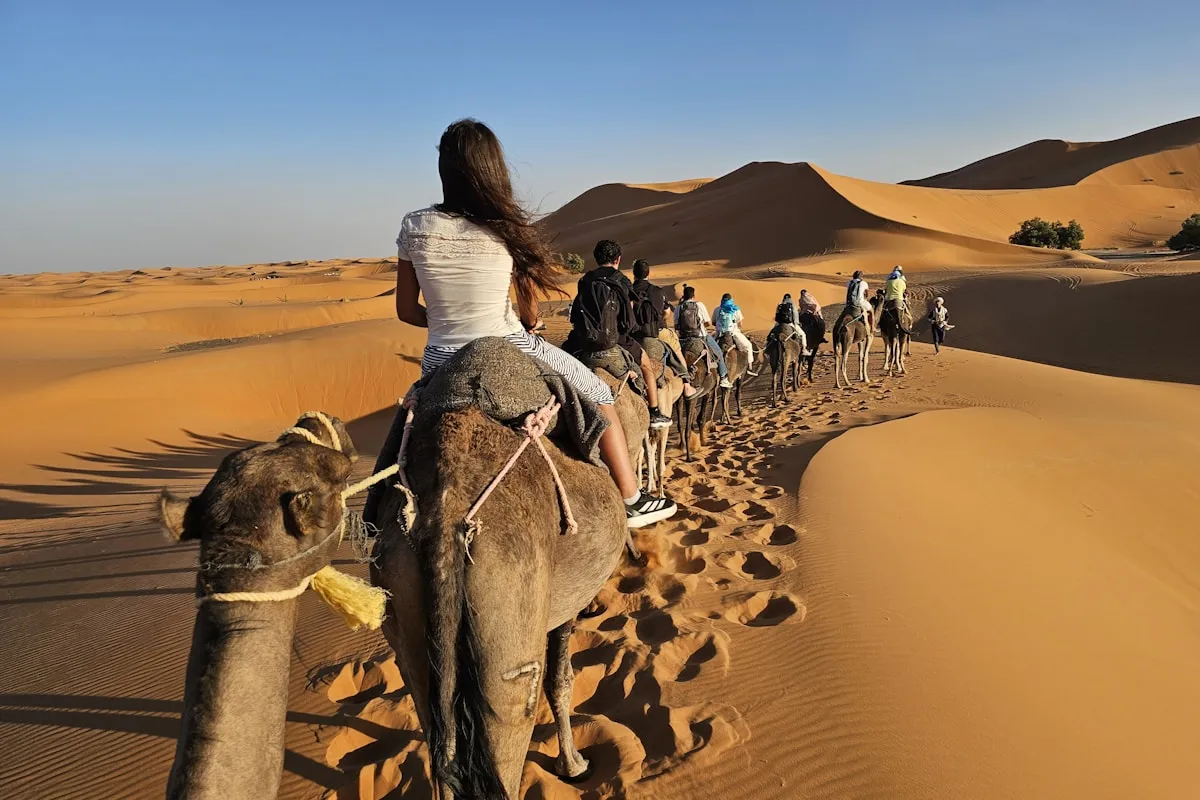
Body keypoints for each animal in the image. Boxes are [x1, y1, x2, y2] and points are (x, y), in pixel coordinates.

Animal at [371, 344, 628, 799]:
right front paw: (574, 765)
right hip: (510, 618)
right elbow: (560, 681)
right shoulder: (562, 608)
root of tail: (447, 507)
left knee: (438, 742)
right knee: (509, 724)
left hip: (404, 615)